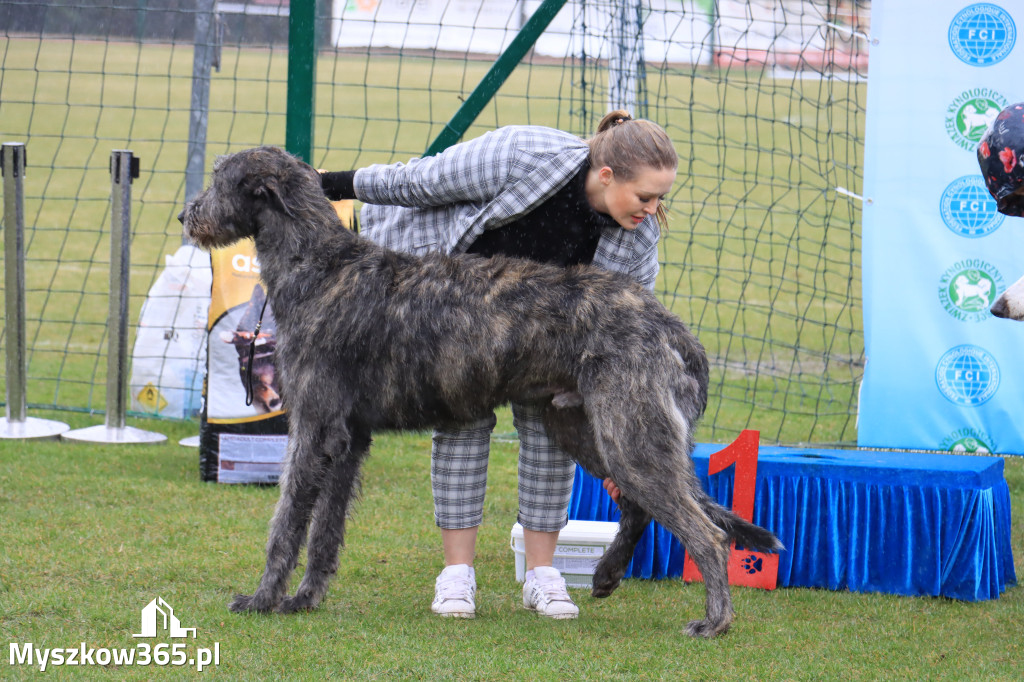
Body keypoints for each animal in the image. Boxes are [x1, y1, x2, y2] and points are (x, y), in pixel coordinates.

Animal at [180, 146, 778, 634]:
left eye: (219, 178)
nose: (187, 215)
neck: (322, 267)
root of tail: (667, 322)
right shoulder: (348, 440)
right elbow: (325, 531)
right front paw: (305, 599)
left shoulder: (312, 429)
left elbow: (286, 523)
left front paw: (262, 599)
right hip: (583, 427)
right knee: (637, 506)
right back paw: (607, 575)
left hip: (631, 436)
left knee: (707, 533)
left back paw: (715, 622)